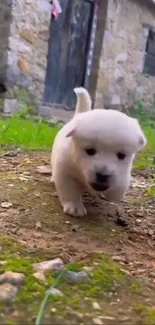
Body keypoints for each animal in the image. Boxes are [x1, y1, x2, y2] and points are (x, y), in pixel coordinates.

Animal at [50, 87, 147, 216]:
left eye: (121, 155)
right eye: (90, 151)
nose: (102, 175)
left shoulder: (123, 174)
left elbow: (119, 188)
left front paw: (112, 194)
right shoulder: (64, 171)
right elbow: (70, 191)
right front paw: (75, 207)